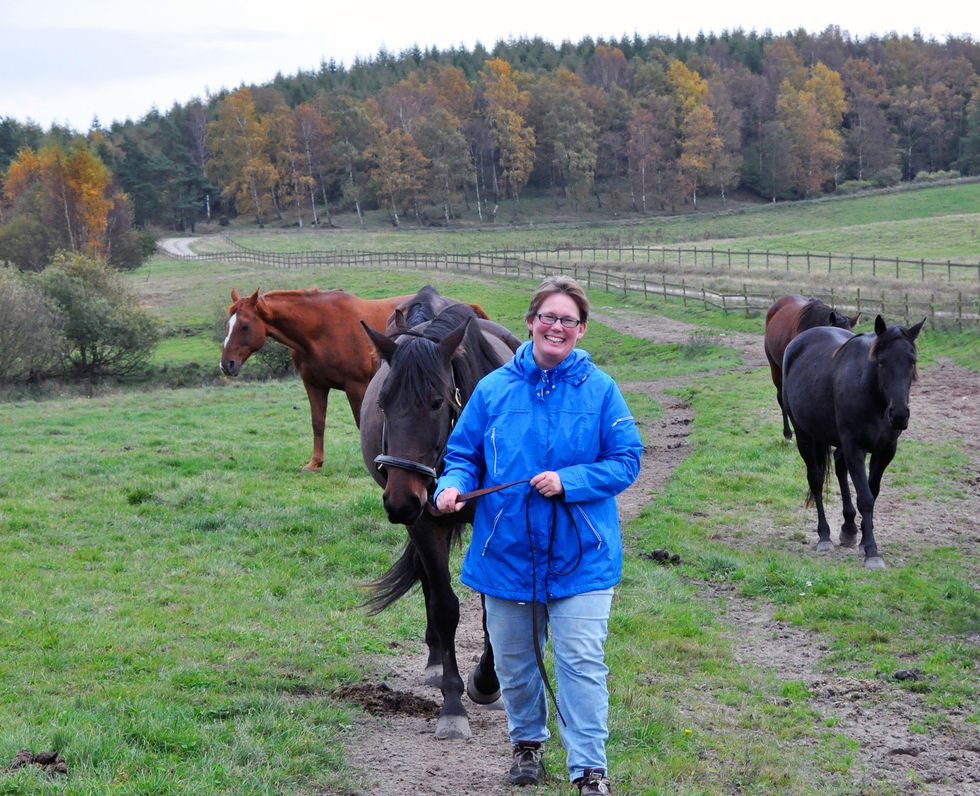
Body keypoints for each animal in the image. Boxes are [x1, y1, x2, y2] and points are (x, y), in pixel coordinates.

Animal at [784, 314, 924, 568]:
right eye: (882, 362)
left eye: (912, 361)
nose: (899, 415)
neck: (872, 395)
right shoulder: (855, 448)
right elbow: (865, 498)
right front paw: (872, 552)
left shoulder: (885, 450)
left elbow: (872, 492)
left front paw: (862, 540)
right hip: (804, 435)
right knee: (816, 480)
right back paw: (824, 536)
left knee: (839, 468)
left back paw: (848, 529)